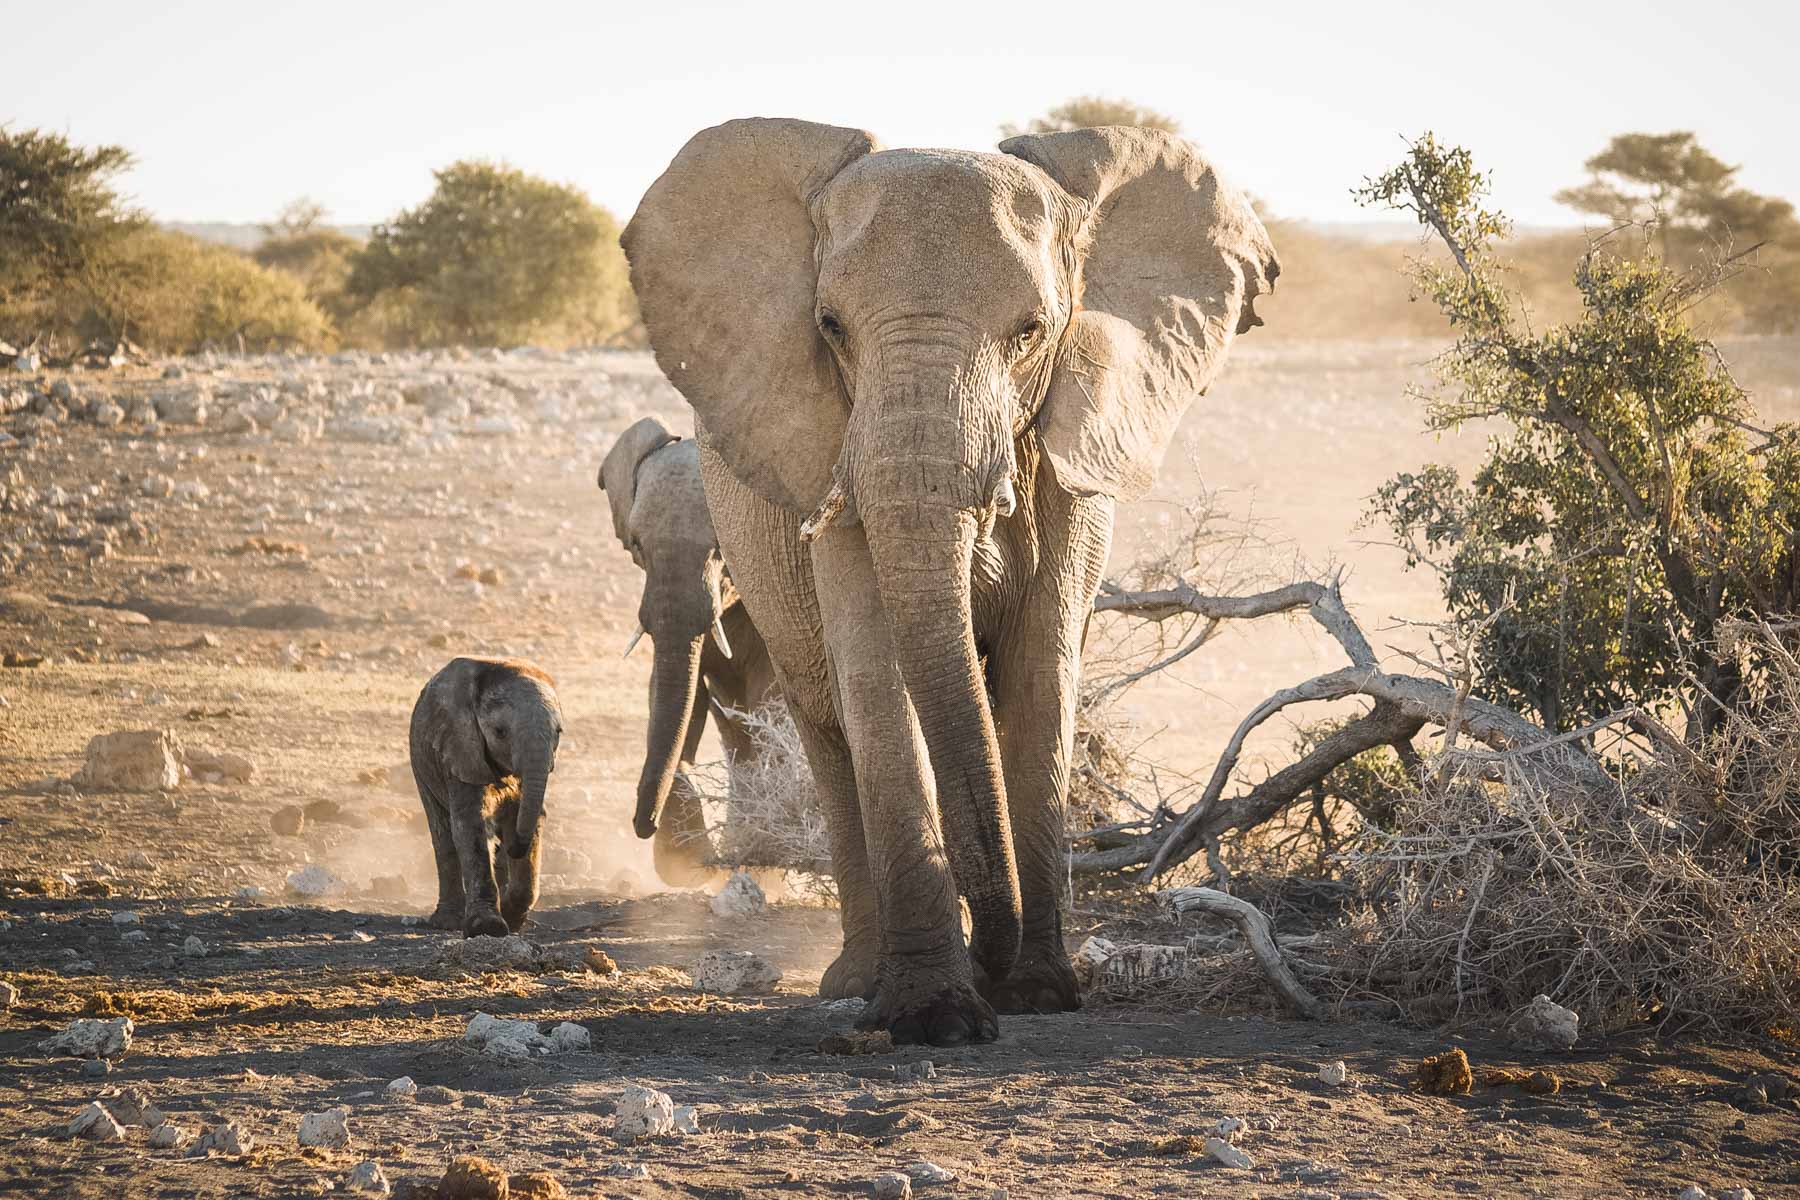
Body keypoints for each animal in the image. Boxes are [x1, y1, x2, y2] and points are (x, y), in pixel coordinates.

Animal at [410, 658, 561, 935]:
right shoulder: (460, 750)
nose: (512, 848)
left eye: (559, 732)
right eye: (500, 732)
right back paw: (448, 922)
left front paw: (511, 916)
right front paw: (487, 927)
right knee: (442, 835)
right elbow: (471, 825)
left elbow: (528, 816)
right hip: (421, 764)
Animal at [601, 417, 777, 888]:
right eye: (637, 544)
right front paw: (686, 858)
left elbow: (771, 701)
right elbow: (677, 692)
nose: (641, 825)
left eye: (721, 548)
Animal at [626, 116, 1274, 1043]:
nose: (993, 962)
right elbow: (878, 678)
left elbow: (1042, 676)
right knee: (825, 726)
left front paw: (1036, 993)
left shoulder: (1072, 466)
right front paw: (937, 1017)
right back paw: (855, 980)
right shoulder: (831, 455)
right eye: (829, 326)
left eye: (1032, 330)